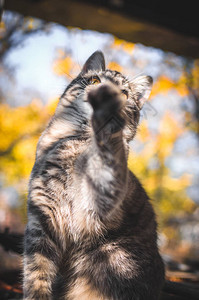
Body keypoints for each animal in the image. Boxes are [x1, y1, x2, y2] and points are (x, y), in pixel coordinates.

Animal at [23, 50, 165, 298]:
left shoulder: (100, 203)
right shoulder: (42, 214)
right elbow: (36, 270)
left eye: (124, 93)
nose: (105, 94)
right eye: (95, 80)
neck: (78, 142)